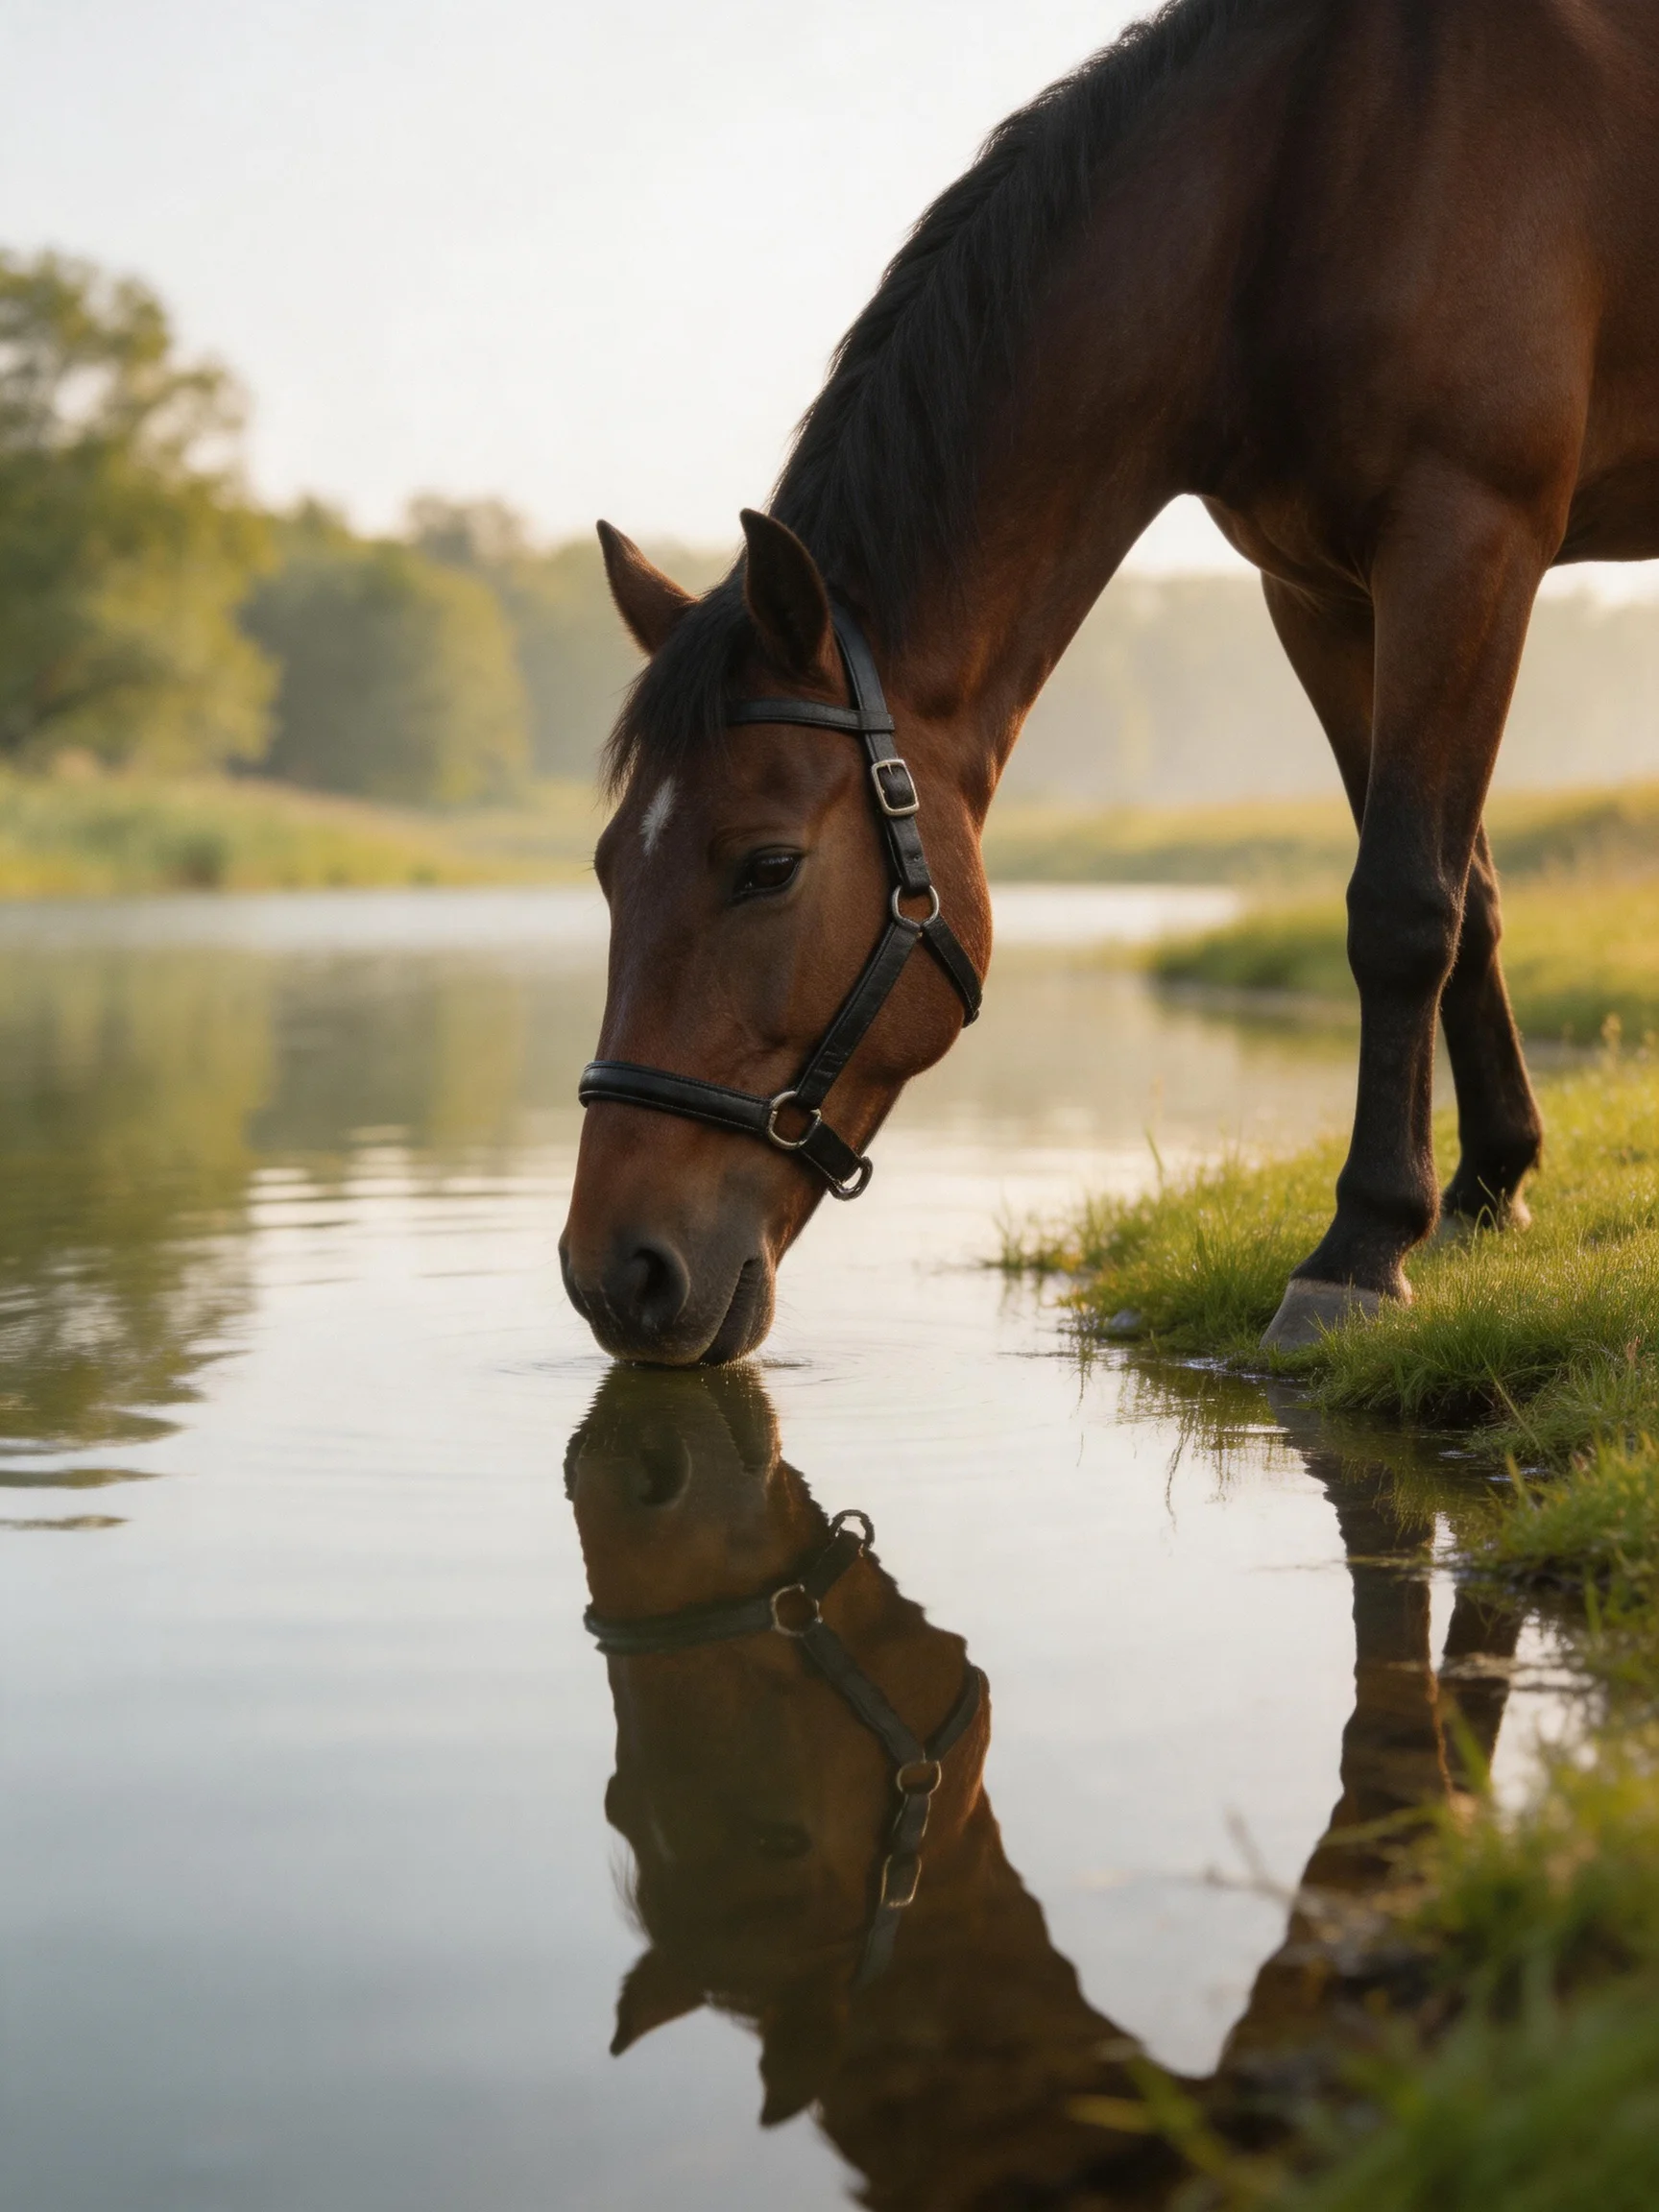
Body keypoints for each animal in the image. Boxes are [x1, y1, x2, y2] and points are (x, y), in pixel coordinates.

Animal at [560, 0, 1659, 1363]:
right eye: (609, 868)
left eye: (766, 868)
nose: (615, 1275)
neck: (1327, 167)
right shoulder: (1322, 593)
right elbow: (1472, 897)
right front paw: (1485, 1192)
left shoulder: (1467, 538)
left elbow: (1404, 905)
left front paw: (1359, 1249)